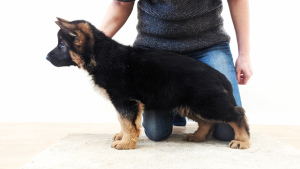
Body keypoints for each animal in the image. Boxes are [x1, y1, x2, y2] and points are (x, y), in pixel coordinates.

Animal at [47, 17, 251, 150]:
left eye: (62, 45)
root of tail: (218, 75)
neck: (101, 55)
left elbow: (127, 122)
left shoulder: (125, 100)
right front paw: (123, 137)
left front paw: (126, 143)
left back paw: (242, 141)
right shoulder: (125, 102)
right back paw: (198, 136)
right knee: (207, 122)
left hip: (206, 103)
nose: (47, 57)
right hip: (190, 105)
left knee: (237, 114)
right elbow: (124, 121)